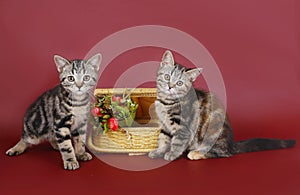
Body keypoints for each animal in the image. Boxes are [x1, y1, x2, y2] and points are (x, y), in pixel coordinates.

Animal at [149, 50, 296, 161]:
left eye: (179, 83)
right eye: (167, 77)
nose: (170, 86)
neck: (167, 101)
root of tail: (231, 144)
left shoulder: (184, 127)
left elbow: (177, 142)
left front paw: (171, 154)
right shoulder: (164, 125)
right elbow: (163, 139)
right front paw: (158, 151)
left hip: (212, 132)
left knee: (222, 153)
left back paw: (196, 153)